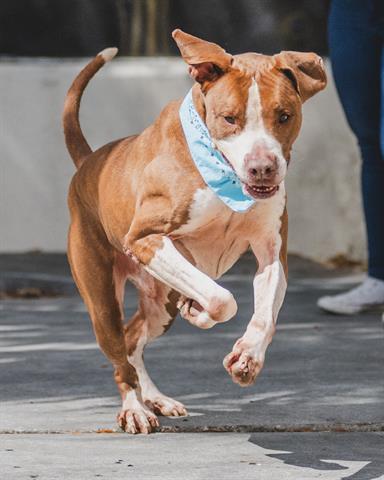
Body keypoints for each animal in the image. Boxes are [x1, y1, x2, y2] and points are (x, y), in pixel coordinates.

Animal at [63, 30, 328, 436]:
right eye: (229, 118)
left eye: (284, 115)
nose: (262, 168)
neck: (225, 174)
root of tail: (90, 163)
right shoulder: (146, 239)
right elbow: (222, 299)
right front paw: (203, 311)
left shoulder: (272, 250)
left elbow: (266, 311)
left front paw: (247, 355)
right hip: (101, 296)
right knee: (119, 352)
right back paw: (135, 408)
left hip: (161, 306)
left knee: (133, 338)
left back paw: (155, 397)